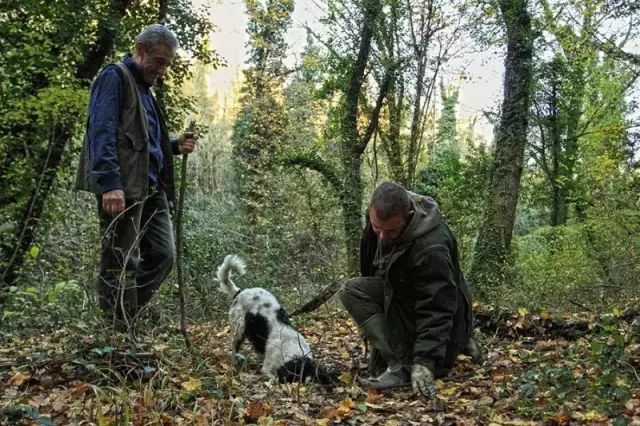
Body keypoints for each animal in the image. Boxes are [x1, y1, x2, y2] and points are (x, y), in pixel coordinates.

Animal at [216, 255, 336, 388]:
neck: (293, 351)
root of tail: (240, 291)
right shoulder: (267, 370)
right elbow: (274, 378)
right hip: (239, 329)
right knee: (234, 347)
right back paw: (235, 362)